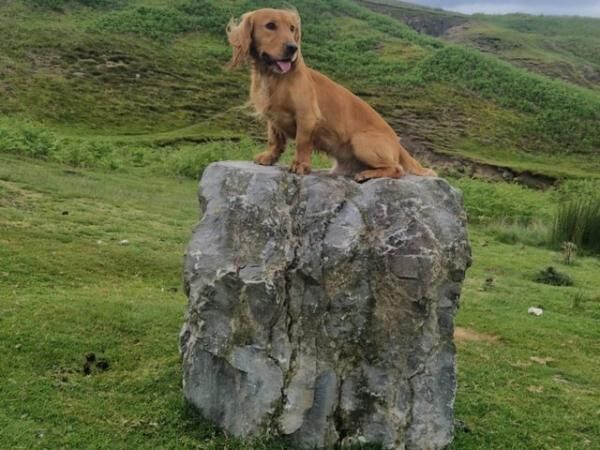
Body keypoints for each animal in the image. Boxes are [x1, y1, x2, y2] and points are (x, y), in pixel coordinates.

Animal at [225, 7, 436, 181]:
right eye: (270, 25)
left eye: (292, 28)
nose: (293, 48)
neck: (274, 77)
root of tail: (398, 144)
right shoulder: (273, 117)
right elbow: (275, 140)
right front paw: (269, 157)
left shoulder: (307, 116)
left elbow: (302, 143)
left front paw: (300, 165)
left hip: (360, 141)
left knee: (397, 169)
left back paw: (367, 174)